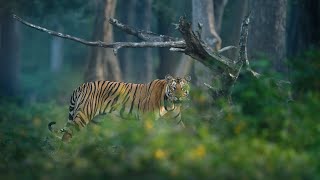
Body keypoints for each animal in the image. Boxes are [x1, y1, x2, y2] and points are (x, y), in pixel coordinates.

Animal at [48, 75, 190, 142]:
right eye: (173, 88)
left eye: (182, 88)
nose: (178, 97)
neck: (170, 105)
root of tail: (81, 86)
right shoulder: (147, 120)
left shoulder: (177, 122)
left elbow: (185, 132)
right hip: (82, 116)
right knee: (67, 134)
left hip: (96, 121)